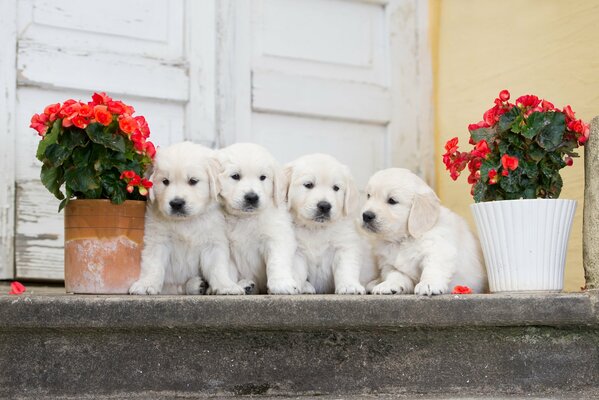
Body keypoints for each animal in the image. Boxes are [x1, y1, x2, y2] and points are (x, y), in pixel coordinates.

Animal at [130, 142, 245, 296]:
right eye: (165, 181)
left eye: (193, 181)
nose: (176, 203)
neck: (186, 221)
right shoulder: (158, 240)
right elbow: (153, 265)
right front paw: (146, 284)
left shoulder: (213, 242)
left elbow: (218, 267)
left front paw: (226, 286)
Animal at [216, 141, 300, 294]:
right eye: (235, 176)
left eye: (262, 177)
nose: (252, 197)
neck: (245, 218)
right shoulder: (227, 247)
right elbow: (228, 269)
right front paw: (231, 286)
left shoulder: (277, 235)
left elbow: (277, 261)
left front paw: (281, 284)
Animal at [284, 153, 378, 294]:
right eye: (308, 185)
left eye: (336, 188)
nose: (324, 206)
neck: (316, 228)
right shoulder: (297, 251)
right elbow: (297, 271)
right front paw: (294, 285)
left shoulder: (345, 246)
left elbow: (345, 269)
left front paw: (349, 286)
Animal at [360, 167, 488, 296]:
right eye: (368, 196)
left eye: (392, 201)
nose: (366, 215)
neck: (405, 239)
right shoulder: (390, 265)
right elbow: (395, 275)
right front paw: (389, 285)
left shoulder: (439, 250)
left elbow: (432, 268)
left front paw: (428, 284)